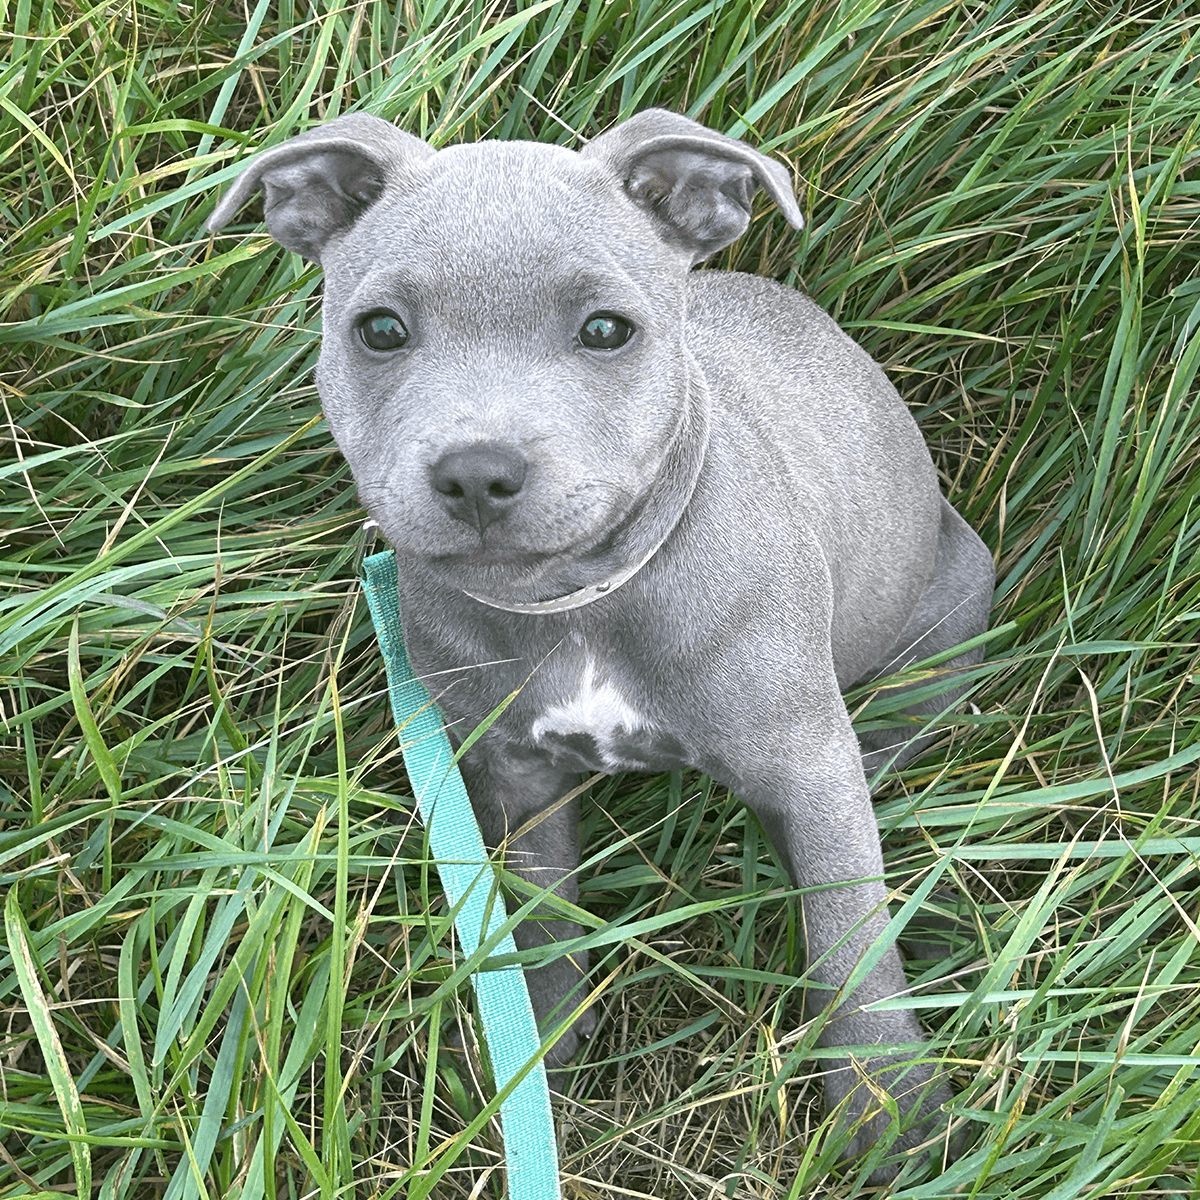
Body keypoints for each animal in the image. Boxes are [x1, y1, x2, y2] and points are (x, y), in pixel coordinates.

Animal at [208, 108, 993, 1176]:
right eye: (380, 330)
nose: (477, 471)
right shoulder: (510, 771)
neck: (577, 601)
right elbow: (534, 913)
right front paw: (535, 1052)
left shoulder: (804, 760)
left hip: (947, 609)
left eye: (606, 330)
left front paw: (894, 1110)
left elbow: (850, 935)